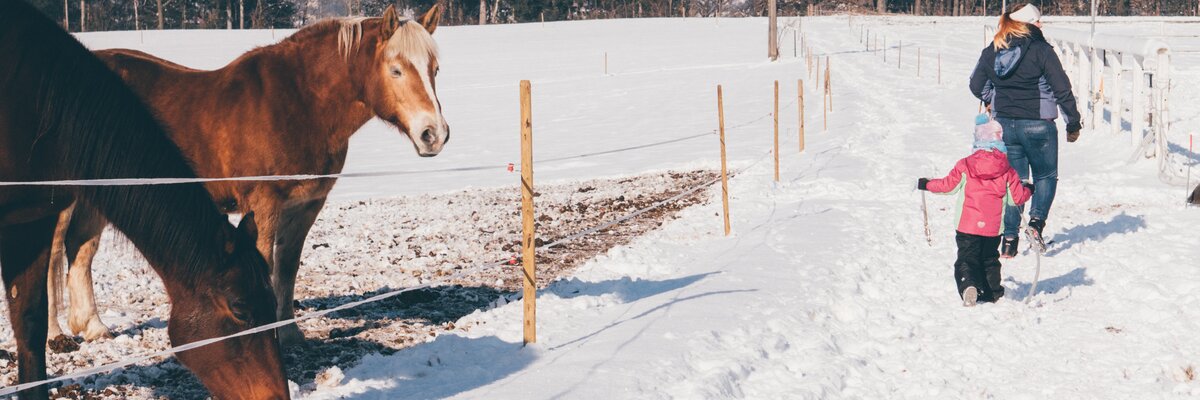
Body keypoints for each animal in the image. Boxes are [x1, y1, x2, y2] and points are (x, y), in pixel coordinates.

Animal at [0, 0, 288, 398]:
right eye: (240, 309)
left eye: (272, 304)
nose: (277, 394)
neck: (34, 107)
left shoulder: (30, 222)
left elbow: (29, 326)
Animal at [45, 4, 451, 343]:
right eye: (395, 69)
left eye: (435, 69)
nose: (434, 134)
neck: (298, 103)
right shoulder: (265, 203)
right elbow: (265, 263)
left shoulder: (305, 205)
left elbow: (287, 268)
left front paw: (290, 334)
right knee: (49, 257)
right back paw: (56, 336)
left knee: (81, 248)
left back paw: (93, 327)